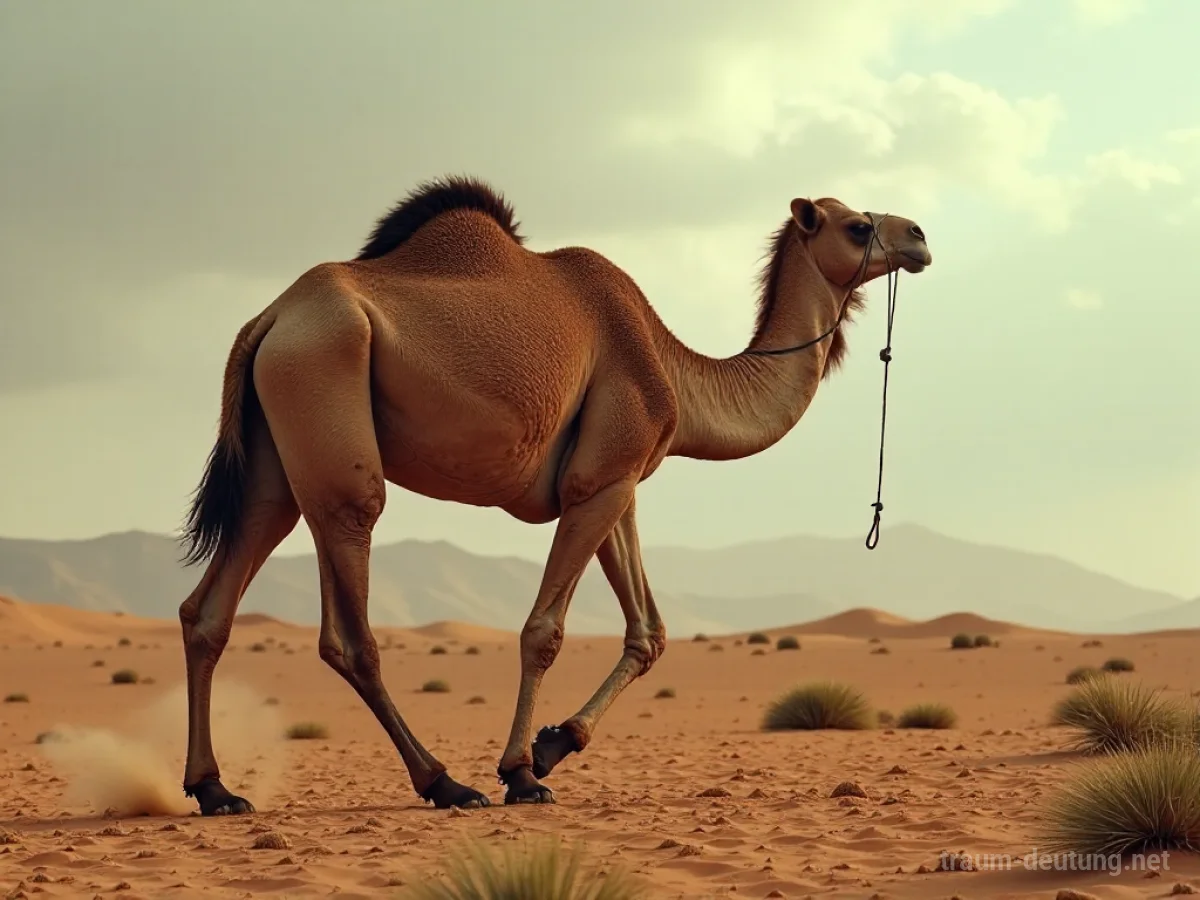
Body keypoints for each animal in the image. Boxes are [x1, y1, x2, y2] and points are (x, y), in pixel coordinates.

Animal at [176, 175, 932, 814]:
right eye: (858, 226)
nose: (921, 235)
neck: (676, 374)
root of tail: (267, 321)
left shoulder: (618, 483)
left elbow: (649, 633)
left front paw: (553, 744)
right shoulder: (597, 481)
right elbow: (545, 632)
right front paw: (522, 771)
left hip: (275, 467)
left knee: (209, 607)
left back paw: (216, 790)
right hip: (330, 409)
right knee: (350, 629)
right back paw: (446, 783)